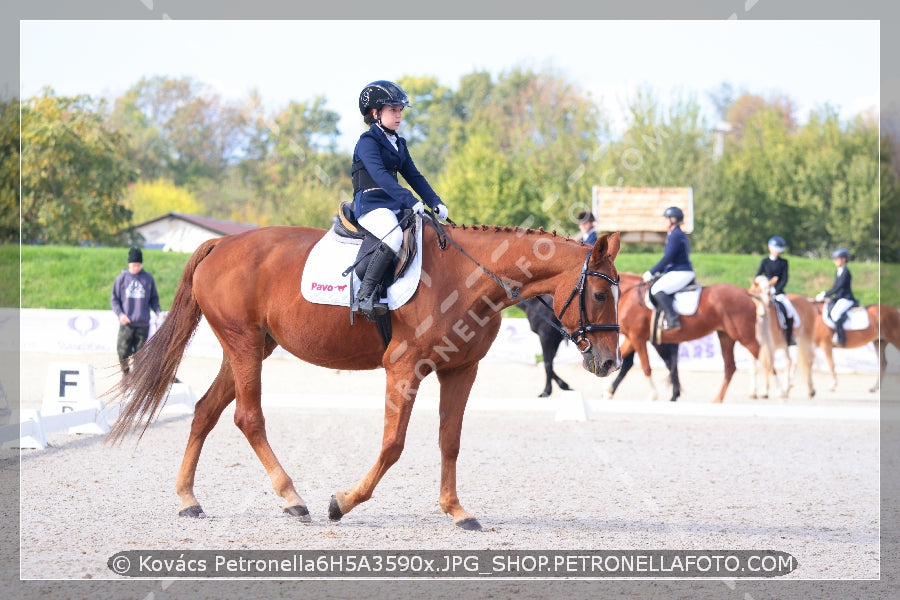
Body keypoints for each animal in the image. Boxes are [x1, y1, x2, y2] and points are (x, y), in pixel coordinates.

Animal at [105, 223, 624, 532]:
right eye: (600, 294)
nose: (610, 363)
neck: (467, 278)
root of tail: (221, 243)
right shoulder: (404, 368)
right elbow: (393, 445)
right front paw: (343, 502)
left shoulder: (461, 370)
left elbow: (450, 441)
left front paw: (457, 511)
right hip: (245, 345)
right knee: (247, 417)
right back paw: (293, 498)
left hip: (248, 347)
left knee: (205, 411)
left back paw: (188, 499)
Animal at [520, 294, 684, 400]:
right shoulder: (552, 339)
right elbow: (549, 364)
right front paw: (560, 387)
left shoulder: (546, 337)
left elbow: (547, 364)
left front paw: (549, 390)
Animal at [620, 272, 760, 404]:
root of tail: (746, 292)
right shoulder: (631, 338)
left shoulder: (637, 337)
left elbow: (646, 367)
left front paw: (653, 396)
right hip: (726, 336)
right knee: (730, 367)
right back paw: (717, 400)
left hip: (744, 336)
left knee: (762, 357)